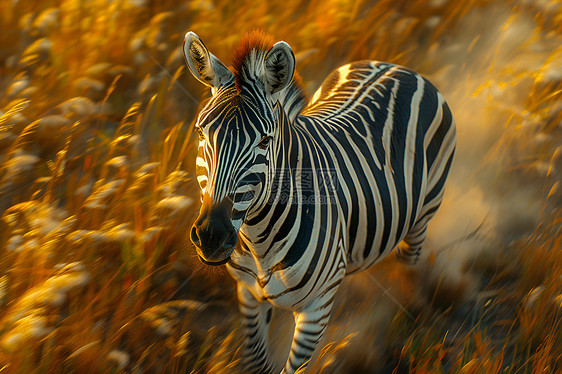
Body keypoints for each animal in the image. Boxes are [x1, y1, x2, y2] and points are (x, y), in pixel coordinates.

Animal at [184, 30, 456, 372]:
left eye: (265, 141)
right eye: (200, 133)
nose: (211, 236)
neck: (258, 242)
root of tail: (400, 68)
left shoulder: (317, 309)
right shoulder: (247, 294)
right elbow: (257, 360)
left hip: (422, 217)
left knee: (408, 269)